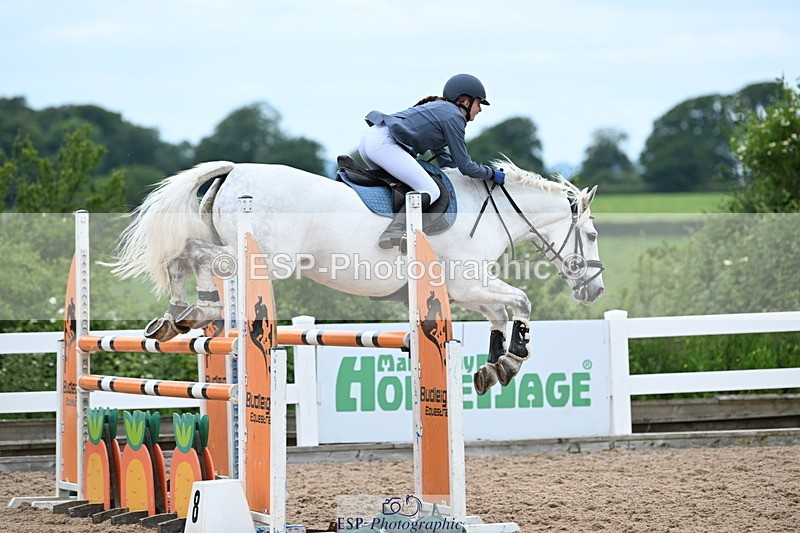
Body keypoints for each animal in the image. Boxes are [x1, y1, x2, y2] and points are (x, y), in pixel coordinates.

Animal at [106, 159, 605, 395]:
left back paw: (181, 314)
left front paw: (494, 367)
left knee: (186, 258)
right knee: (198, 255)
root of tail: (234, 172)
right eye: (593, 235)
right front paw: (512, 360)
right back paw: (197, 308)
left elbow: (499, 314)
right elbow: (520, 301)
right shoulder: (466, 282)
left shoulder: (463, 290)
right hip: (270, 257)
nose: (595, 289)